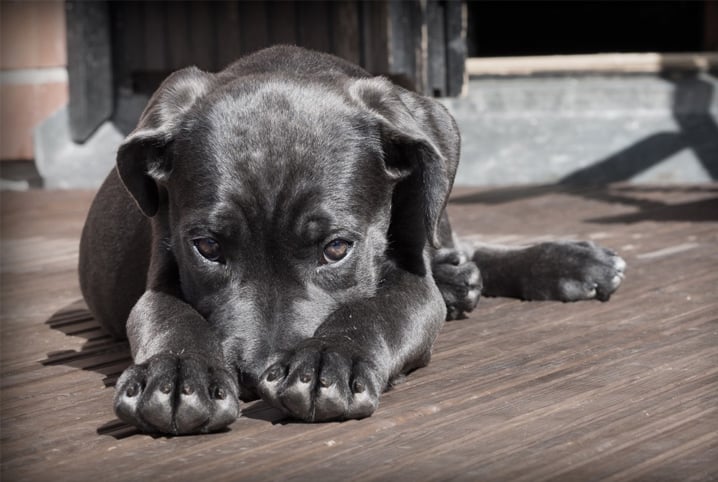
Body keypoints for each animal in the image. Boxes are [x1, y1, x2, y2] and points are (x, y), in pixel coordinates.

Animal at [79, 47, 628, 434]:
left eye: (337, 249)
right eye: (208, 248)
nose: (255, 376)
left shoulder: (412, 281)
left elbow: (376, 309)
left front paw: (329, 359)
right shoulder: (161, 270)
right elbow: (169, 316)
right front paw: (176, 374)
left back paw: (565, 263)